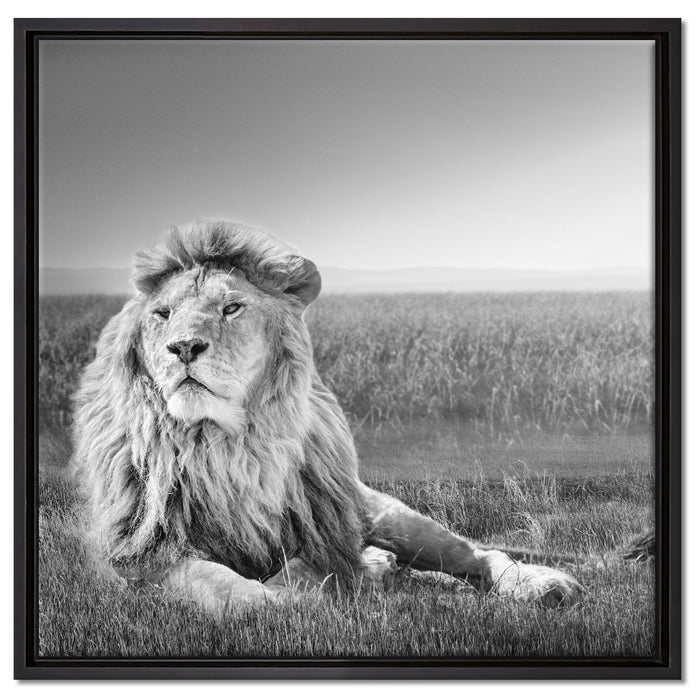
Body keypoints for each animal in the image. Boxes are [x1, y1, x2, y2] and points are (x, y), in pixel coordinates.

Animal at [73, 220, 584, 614]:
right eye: (162, 314)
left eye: (231, 307)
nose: (182, 347)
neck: (224, 445)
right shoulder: (141, 553)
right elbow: (222, 586)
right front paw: (281, 599)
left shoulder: (322, 529)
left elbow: (309, 568)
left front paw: (325, 583)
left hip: (387, 515)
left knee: (475, 553)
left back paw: (542, 584)